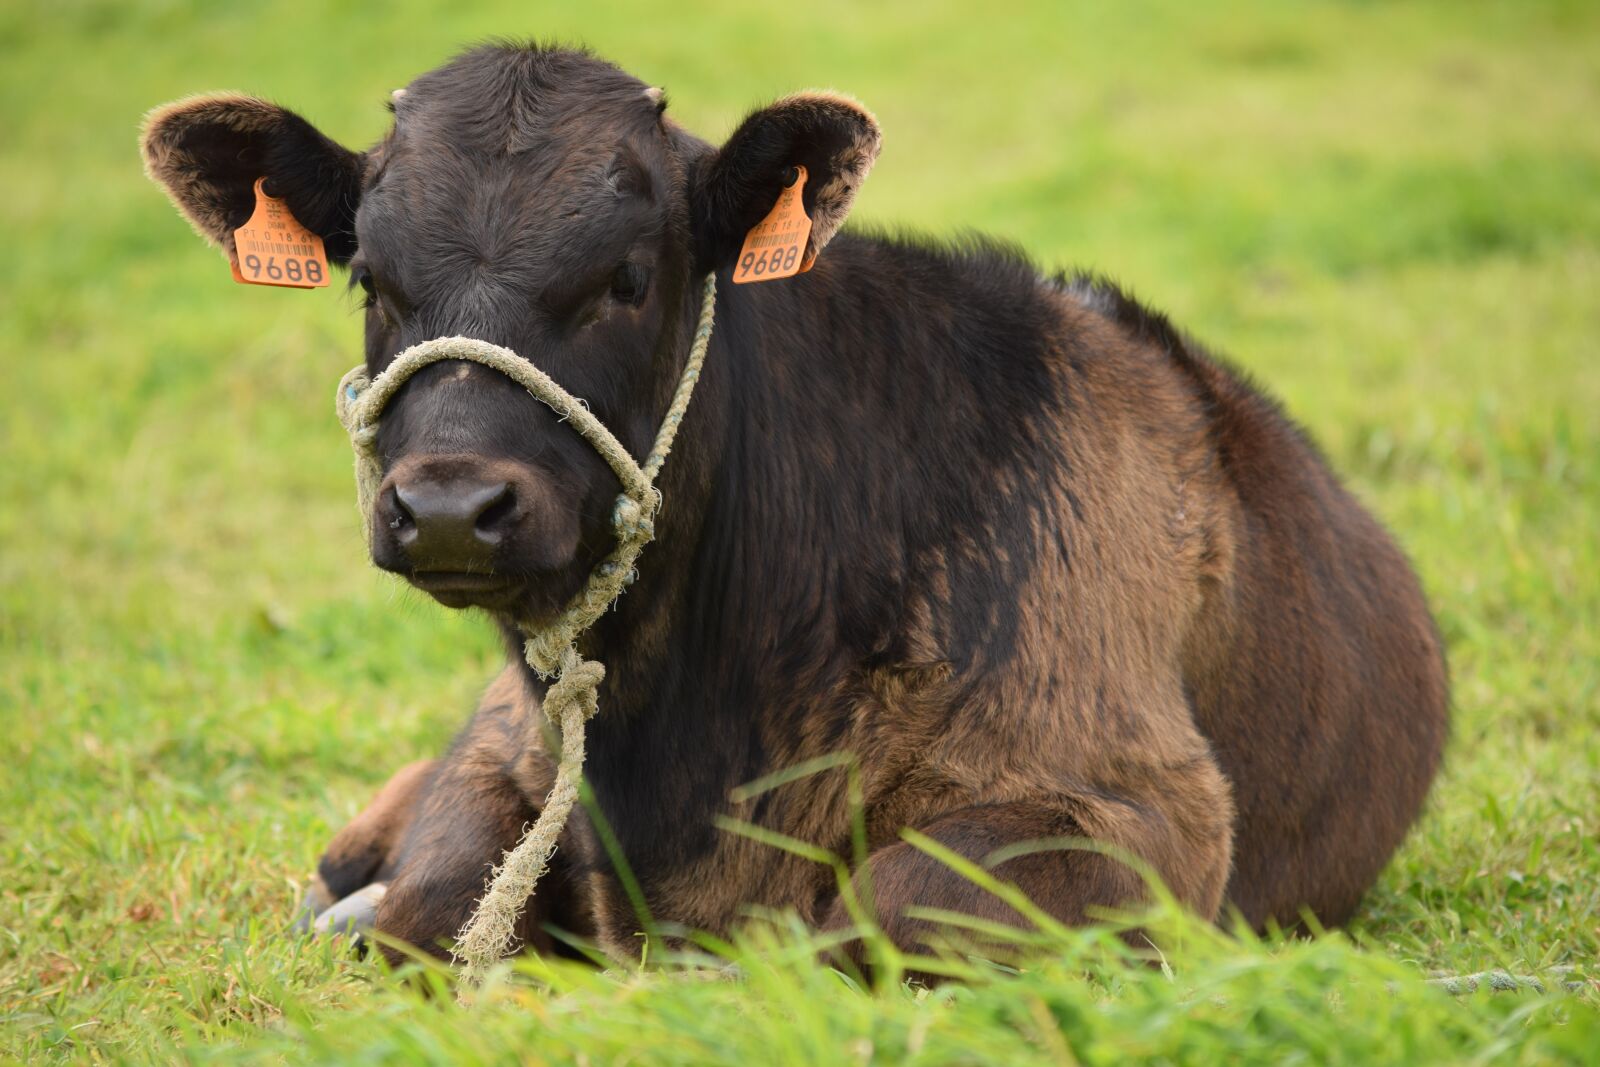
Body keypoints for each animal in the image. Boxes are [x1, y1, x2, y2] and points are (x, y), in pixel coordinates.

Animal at [141, 43, 1448, 971]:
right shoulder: (514, 751)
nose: (454, 505)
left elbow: (882, 916)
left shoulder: (1136, 810)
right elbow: (435, 894)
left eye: (629, 276)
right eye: (369, 275)